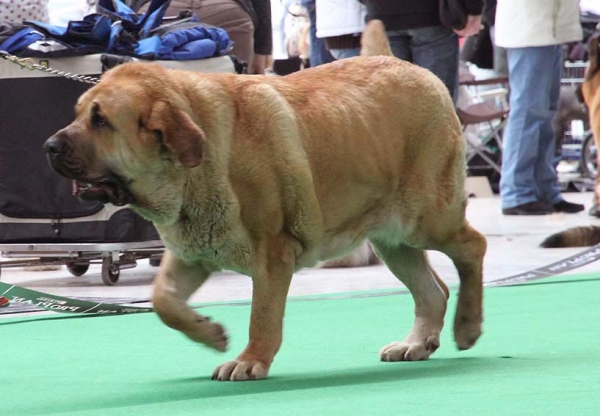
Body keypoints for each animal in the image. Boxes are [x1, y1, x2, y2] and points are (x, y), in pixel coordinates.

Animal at [44, 22, 486, 380]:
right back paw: (416, 342)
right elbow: (163, 300)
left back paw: (467, 325)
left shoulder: (271, 255)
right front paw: (211, 333)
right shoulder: (191, 251)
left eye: (100, 121)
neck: (197, 164)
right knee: (432, 291)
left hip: (425, 217)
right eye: (79, 114)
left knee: (472, 248)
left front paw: (249, 360)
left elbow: (262, 315)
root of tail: (404, 64)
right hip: (392, 240)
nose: (49, 145)